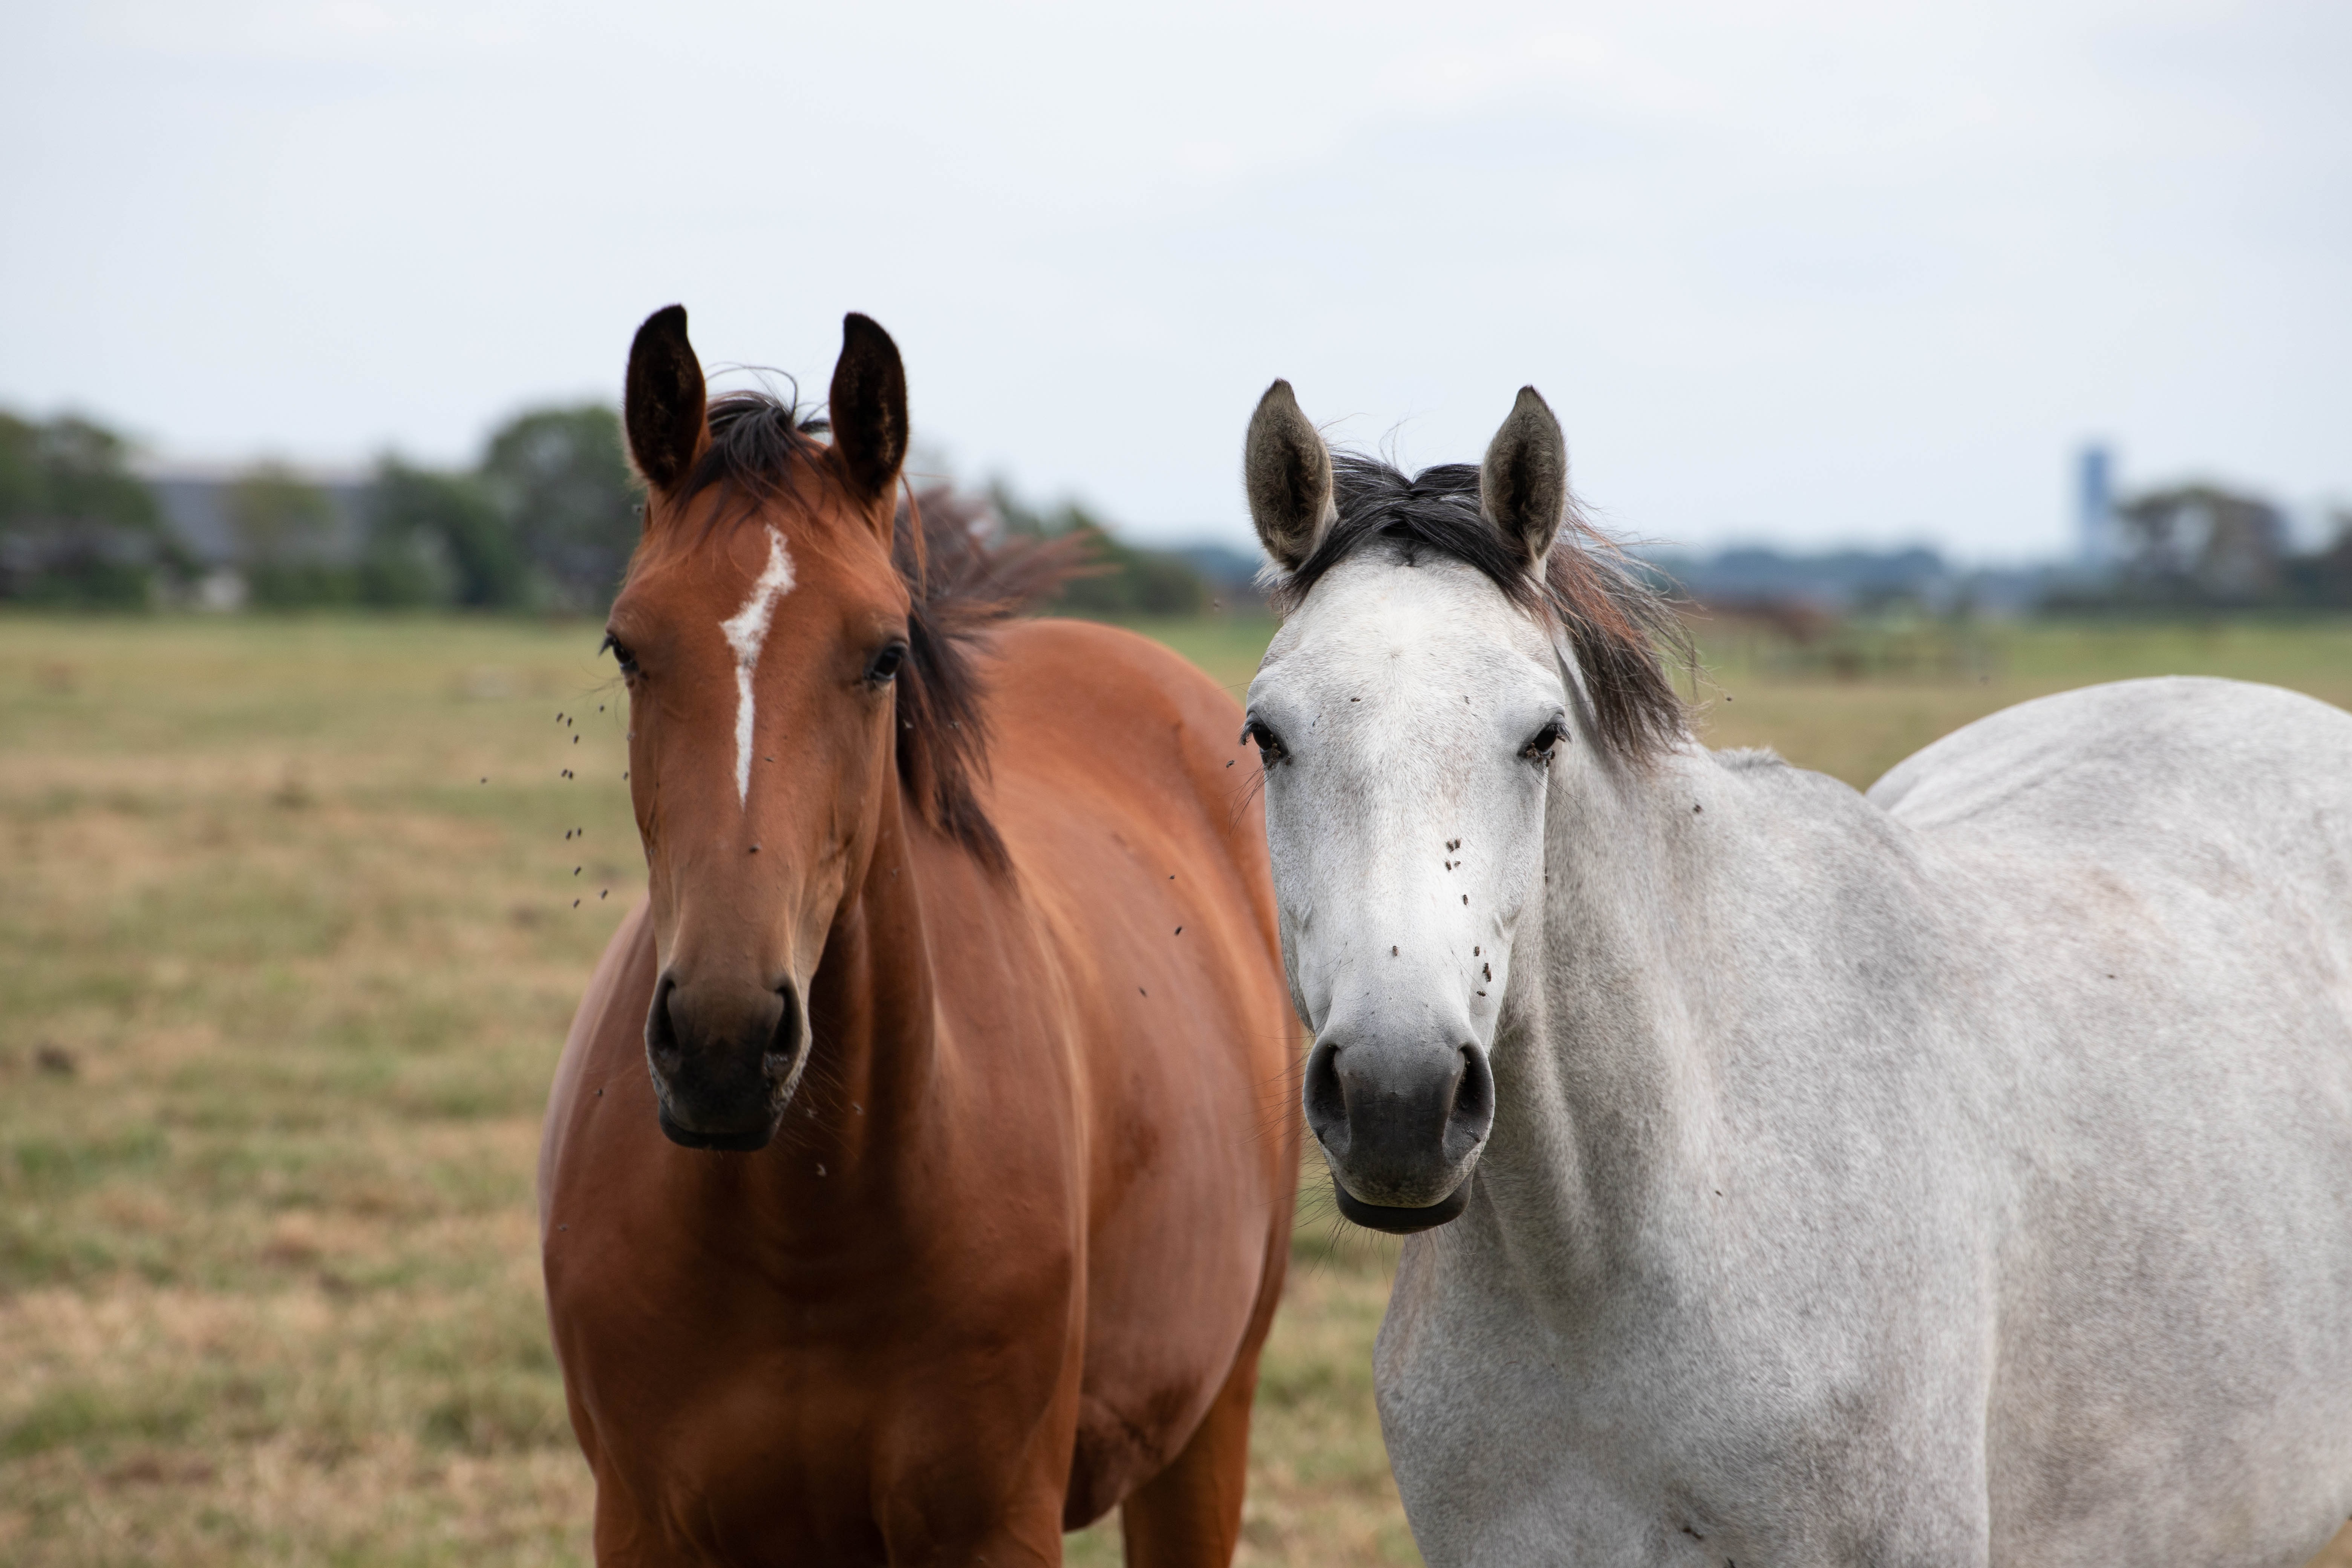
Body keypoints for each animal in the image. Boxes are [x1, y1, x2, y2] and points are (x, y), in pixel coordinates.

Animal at [538, 310, 1308, 1568]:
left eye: (884, 653)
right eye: (626, 647)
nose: (722, 1041)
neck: (807, 1228)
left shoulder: (994, 1524)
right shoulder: (644, 1523)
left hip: (1207, 1430)